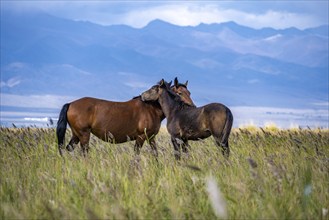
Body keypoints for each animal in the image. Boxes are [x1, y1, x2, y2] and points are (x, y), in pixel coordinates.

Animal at [56, 77, 195, 156]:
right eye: (179, 93)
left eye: (189, 92)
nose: (192, 106)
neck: (150, 109)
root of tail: (71, 104)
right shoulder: (141, 137)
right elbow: (136, 155)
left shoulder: (151, 137)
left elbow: (155, 154)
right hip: (84, 135)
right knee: (84, 153)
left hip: (76, 134)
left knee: (68, 149)